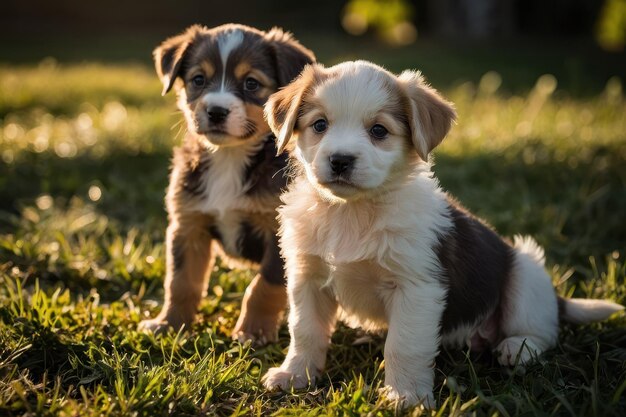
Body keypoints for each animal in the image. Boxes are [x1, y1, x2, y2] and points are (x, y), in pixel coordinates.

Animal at [136, 22, 312, 342]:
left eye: (251, 83)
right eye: (198, 79)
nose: (216, 111)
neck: (229, 159)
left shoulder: (278, 233)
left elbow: (263, 286)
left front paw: (254, 331)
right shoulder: (188, 224)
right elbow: (181, 282)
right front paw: (169, 324)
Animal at [258, 61, 620, 406]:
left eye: (379, 130)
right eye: (320, 125)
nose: (340, 160)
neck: (350, 213)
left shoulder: (417, 288)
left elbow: (404, 346)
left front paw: (406, 396)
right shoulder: (307, 278)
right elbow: (305, 331)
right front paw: (295, 375)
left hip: (524, 274)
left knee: (542, 331)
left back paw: (517, 348)